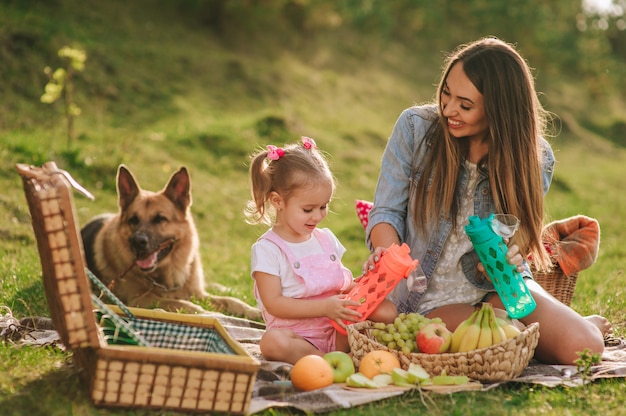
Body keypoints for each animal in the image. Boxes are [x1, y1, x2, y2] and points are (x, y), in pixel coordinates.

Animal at [81, 164, 260, 320]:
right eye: (133, 220)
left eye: (160, 219)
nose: (137, 242)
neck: (167, 274)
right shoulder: (140, 300)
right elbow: (183, 304)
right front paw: (211, 314)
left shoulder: (198, 294)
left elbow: (230, 300)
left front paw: (253, 311)